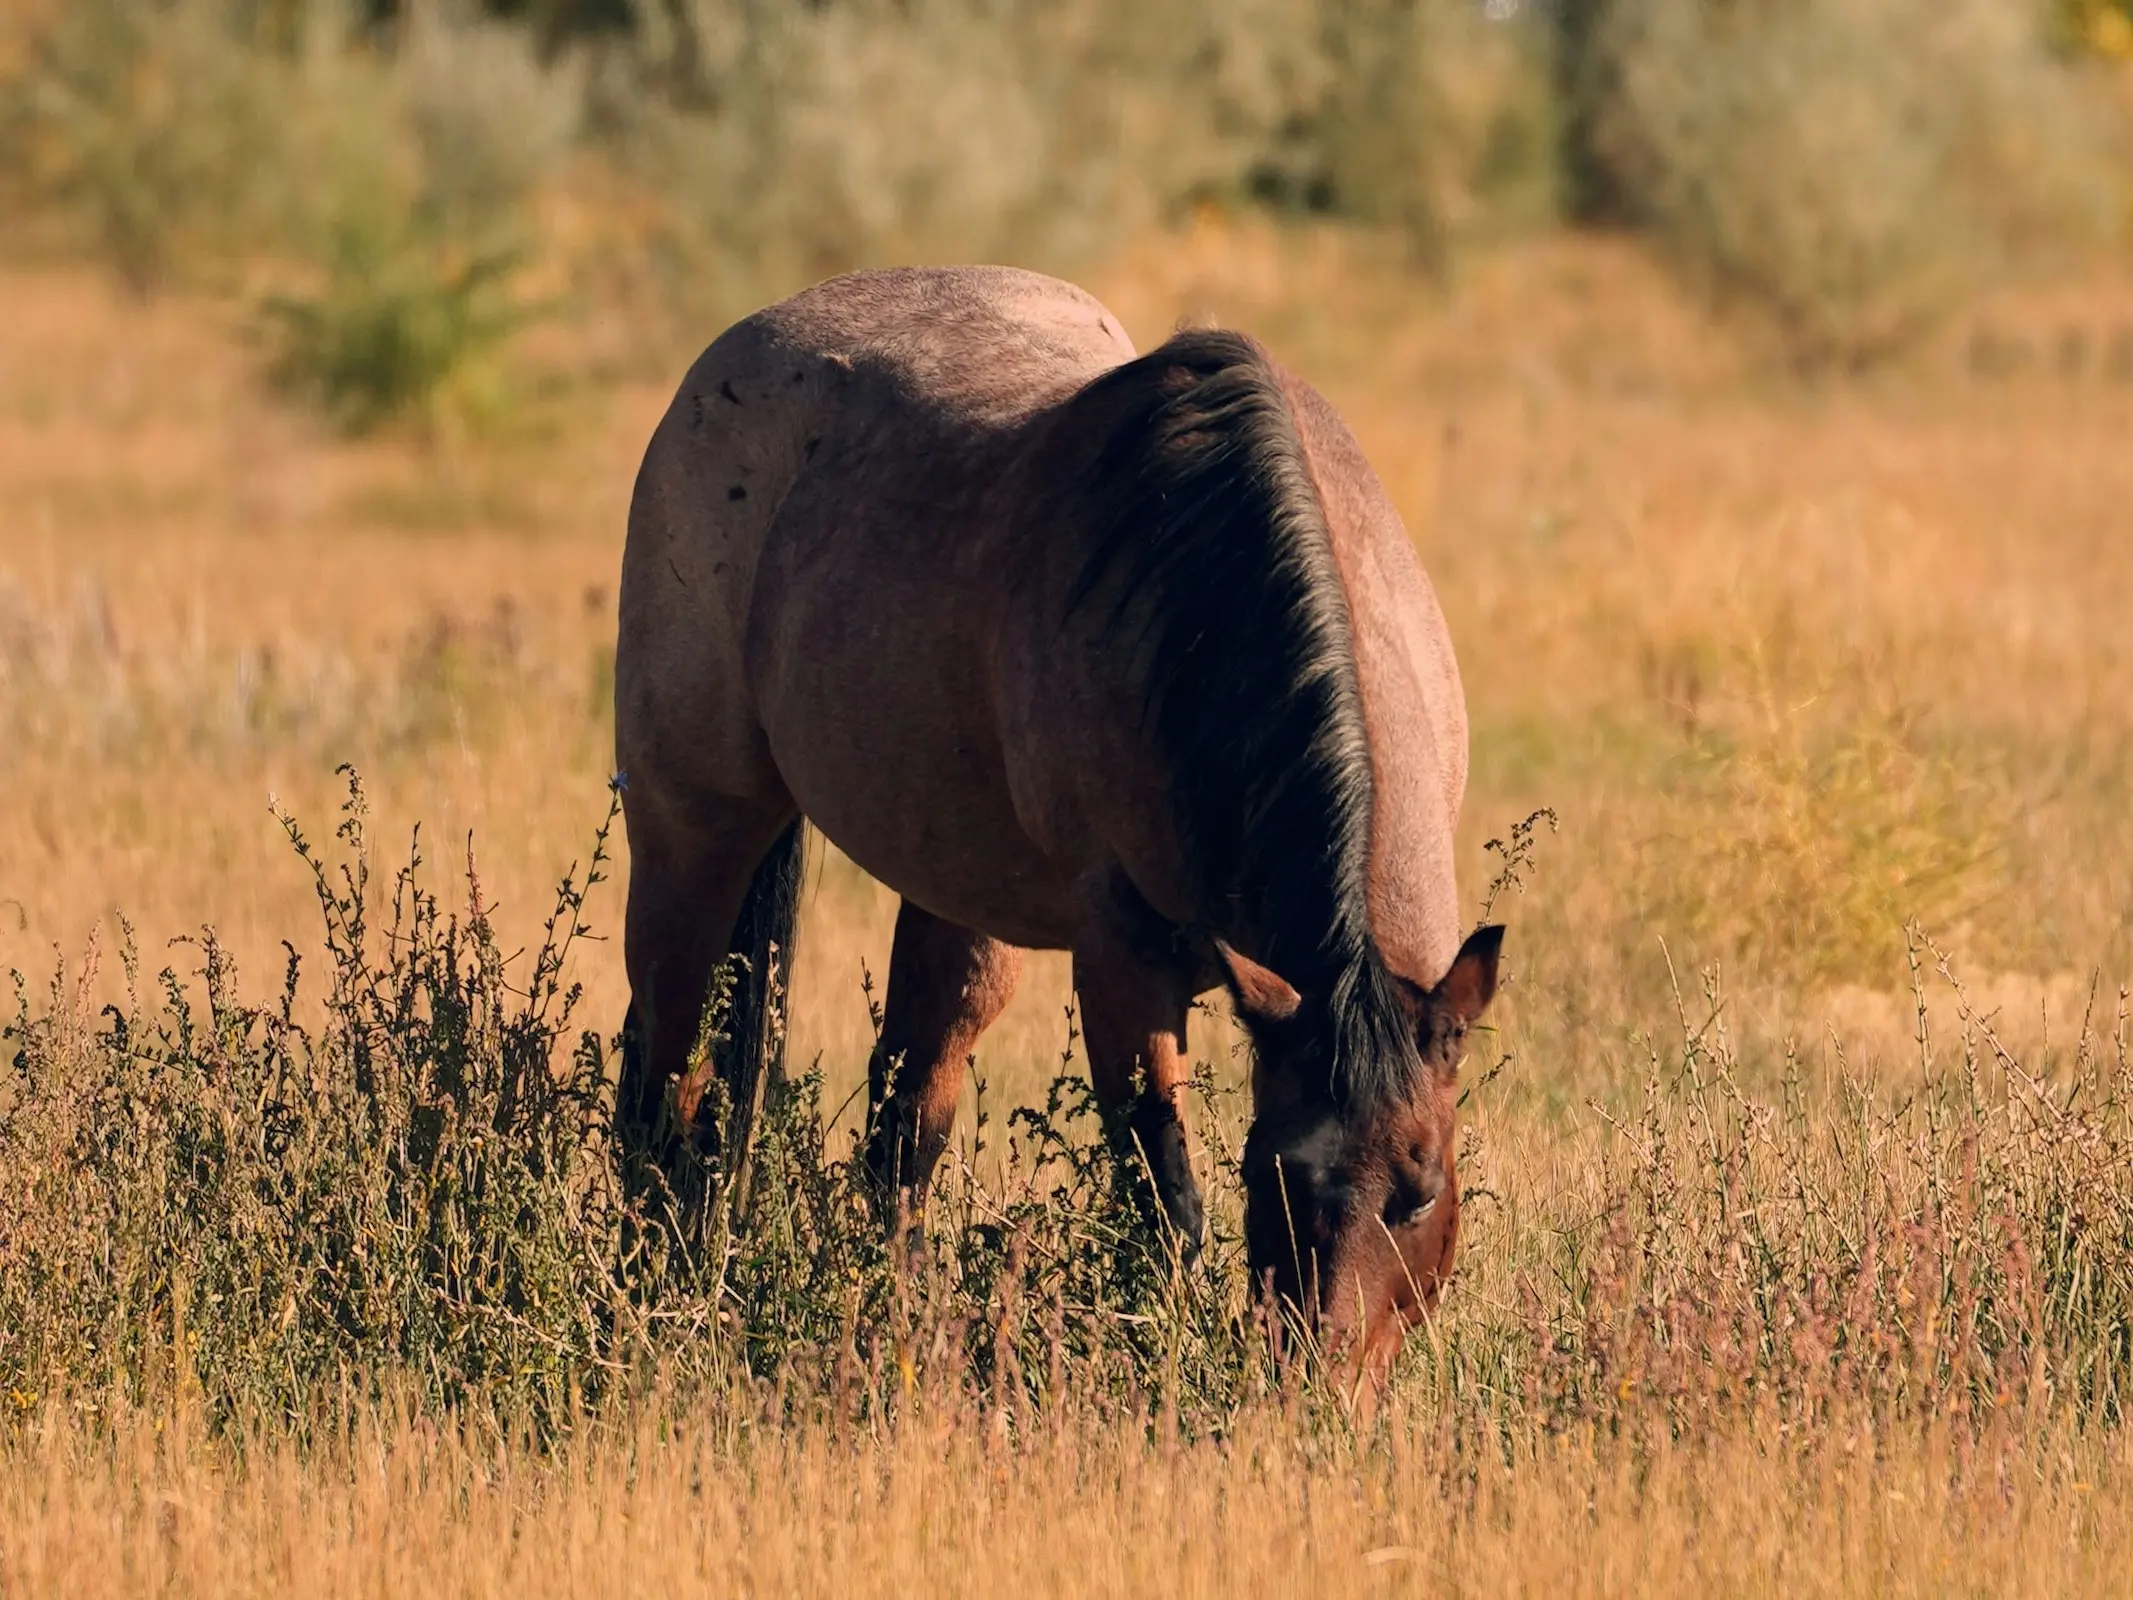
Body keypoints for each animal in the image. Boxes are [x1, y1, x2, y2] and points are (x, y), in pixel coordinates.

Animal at [618, 269, 1501, 1382]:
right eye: (1271, 1174)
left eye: (1419, 1192)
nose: (1317, 1375)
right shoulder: (1122, 964)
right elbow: (1162, 1206)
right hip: (691, 830)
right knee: (658, 1089)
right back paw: (654, 1296)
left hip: (955, 902)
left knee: (900, 1130)